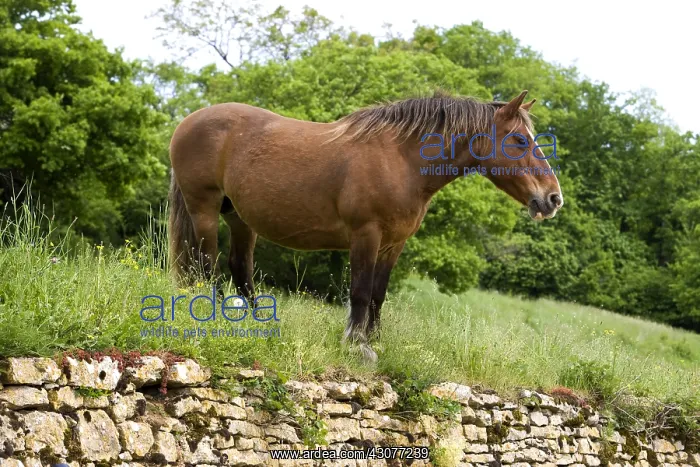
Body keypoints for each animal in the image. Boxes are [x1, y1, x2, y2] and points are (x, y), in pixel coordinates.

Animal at [168, 90, 563, 361]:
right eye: (519, 140)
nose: (553, 199)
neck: (401, 160)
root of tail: (188, 121)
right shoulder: (365, 235)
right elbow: (359, 291)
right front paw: (356, 345)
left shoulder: (393, 244)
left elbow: (377, 294)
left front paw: (375, 342)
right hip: (204, 208)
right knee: (206, 267)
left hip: (239, 217)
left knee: (239, 268)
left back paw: (261, 325)